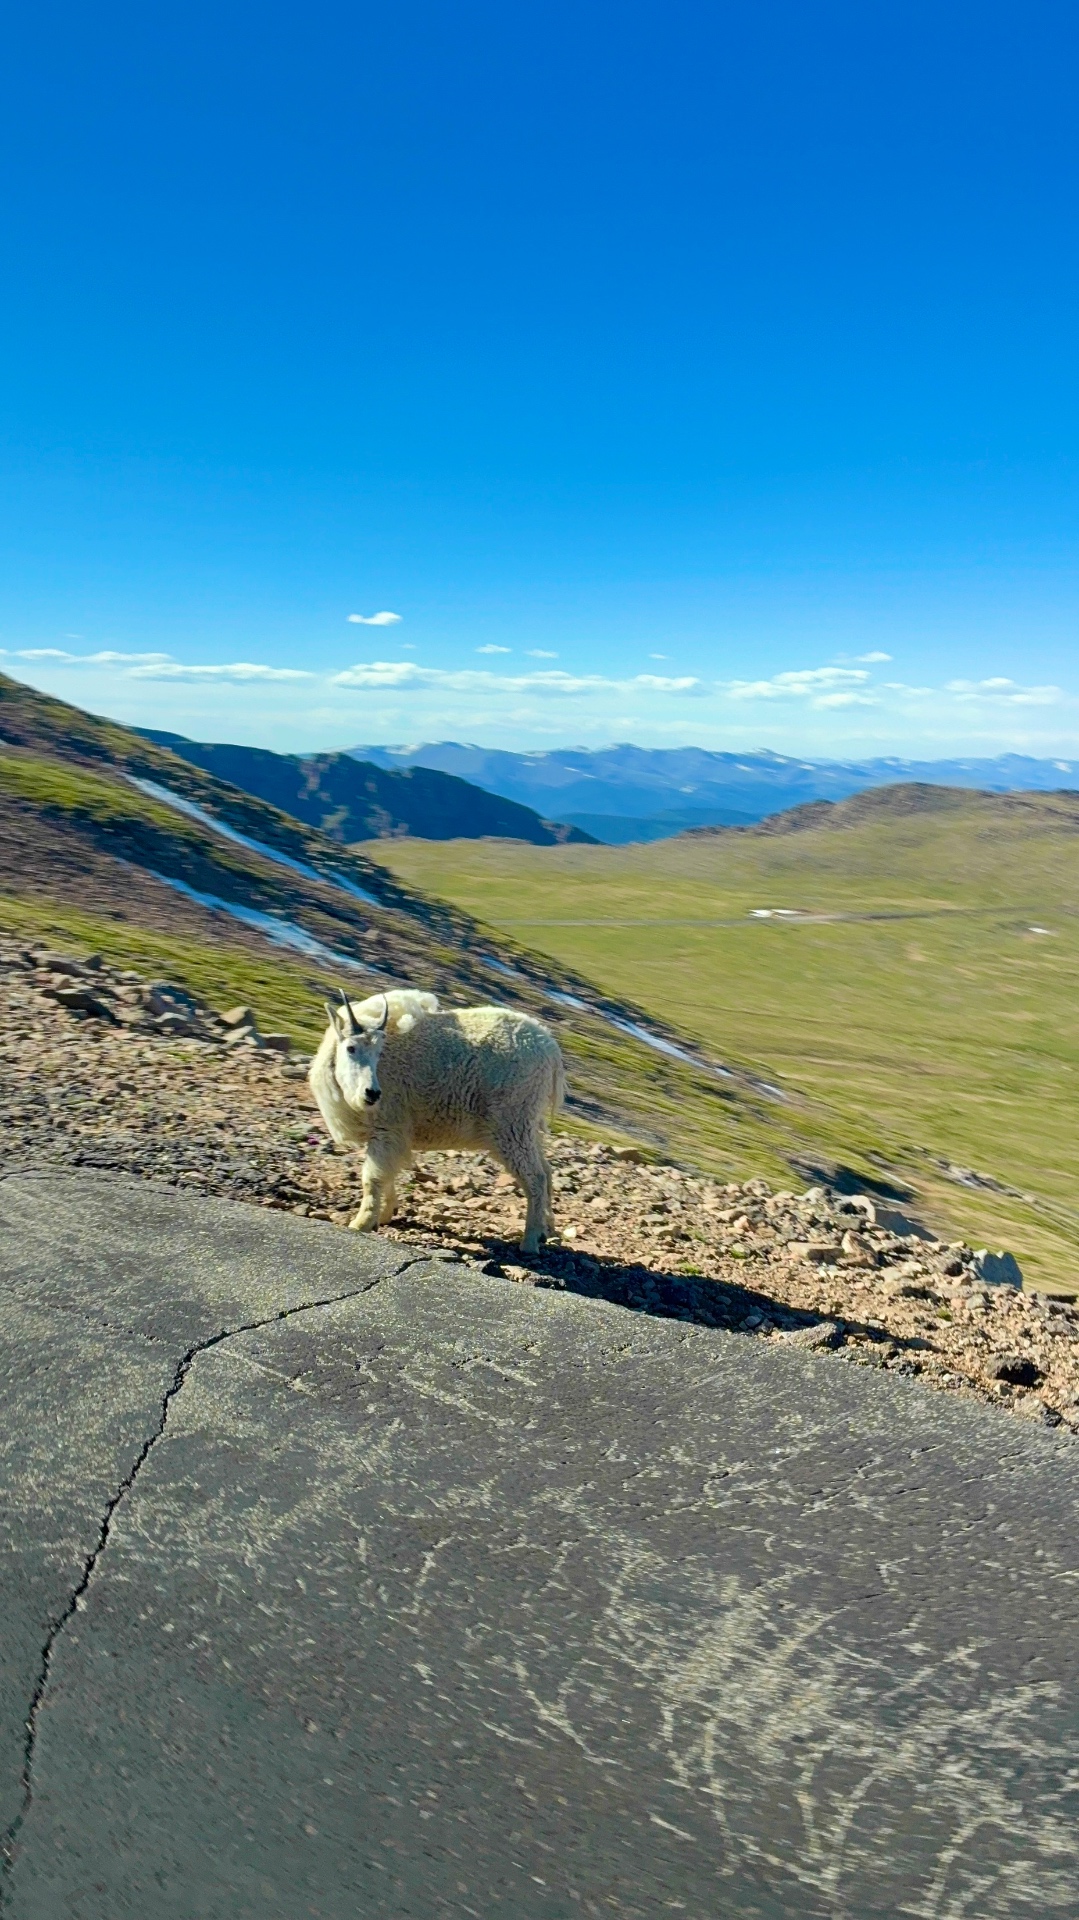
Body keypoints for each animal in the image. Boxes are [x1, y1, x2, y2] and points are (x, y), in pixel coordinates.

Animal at [308, 987, 565, 1252]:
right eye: (351, 1048)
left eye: (379, 1052)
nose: (372, 1093)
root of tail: (551, 1050)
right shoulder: (389, 1135)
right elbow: (386, 1175)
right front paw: (385, 1215)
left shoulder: (387, 1128)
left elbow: (373, 1177)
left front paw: (361, 1223)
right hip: (527, 1126)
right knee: (546, 1172)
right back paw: (547, 1231)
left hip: (511, 1124)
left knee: (535, 1178)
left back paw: (530, 1242)